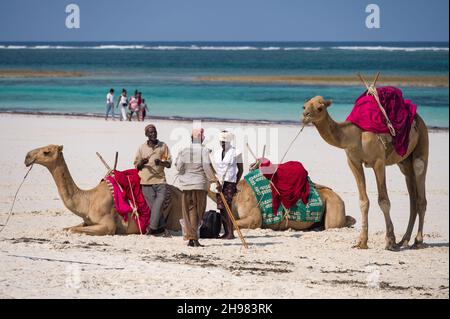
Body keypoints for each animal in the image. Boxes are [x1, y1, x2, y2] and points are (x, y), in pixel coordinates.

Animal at [24, 145, 183, 235]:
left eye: (46, 152)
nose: (27, 157)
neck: (88, 200)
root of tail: (180, 192)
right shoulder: (87, 221)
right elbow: (69, 228)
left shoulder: (108, 226)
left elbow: (72, 230)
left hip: (175, 214)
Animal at [302, 96, 428, 251]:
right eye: (304, 106)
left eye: (320, 108)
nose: (305, 116)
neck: (355, 136)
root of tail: (419, 118)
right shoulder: (353, 161)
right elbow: (363, 201)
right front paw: (362, 242)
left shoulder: (378, 161)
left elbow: (383, 201)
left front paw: (389, 241)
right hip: (404, 162)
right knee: (412, 196)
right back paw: (404, 240)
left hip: (422, 141)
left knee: (420, 181)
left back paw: (417, 241)